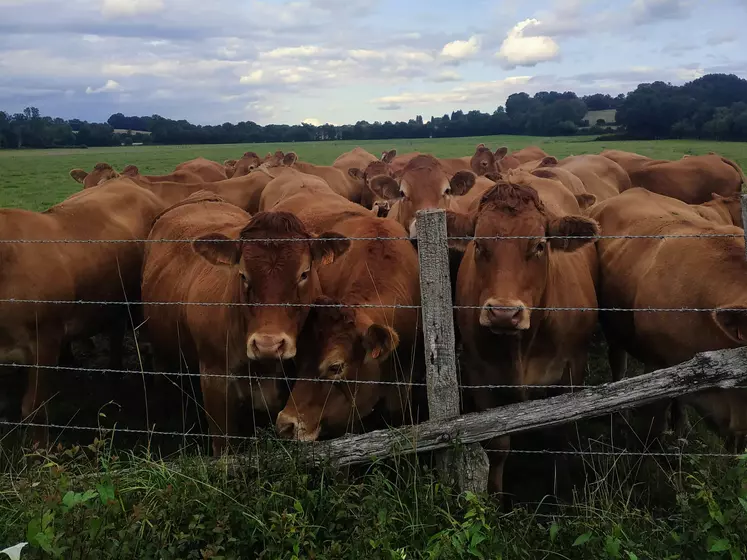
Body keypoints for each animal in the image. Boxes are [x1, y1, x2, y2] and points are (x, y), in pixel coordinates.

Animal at [448, 179, 600, 494]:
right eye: (478, 244)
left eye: (539, 245)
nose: (503, 314)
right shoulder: (479, 375)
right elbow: (498, 446)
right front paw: (495, 496)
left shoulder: (572, 369)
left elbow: (561, 436)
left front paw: (561, 490)